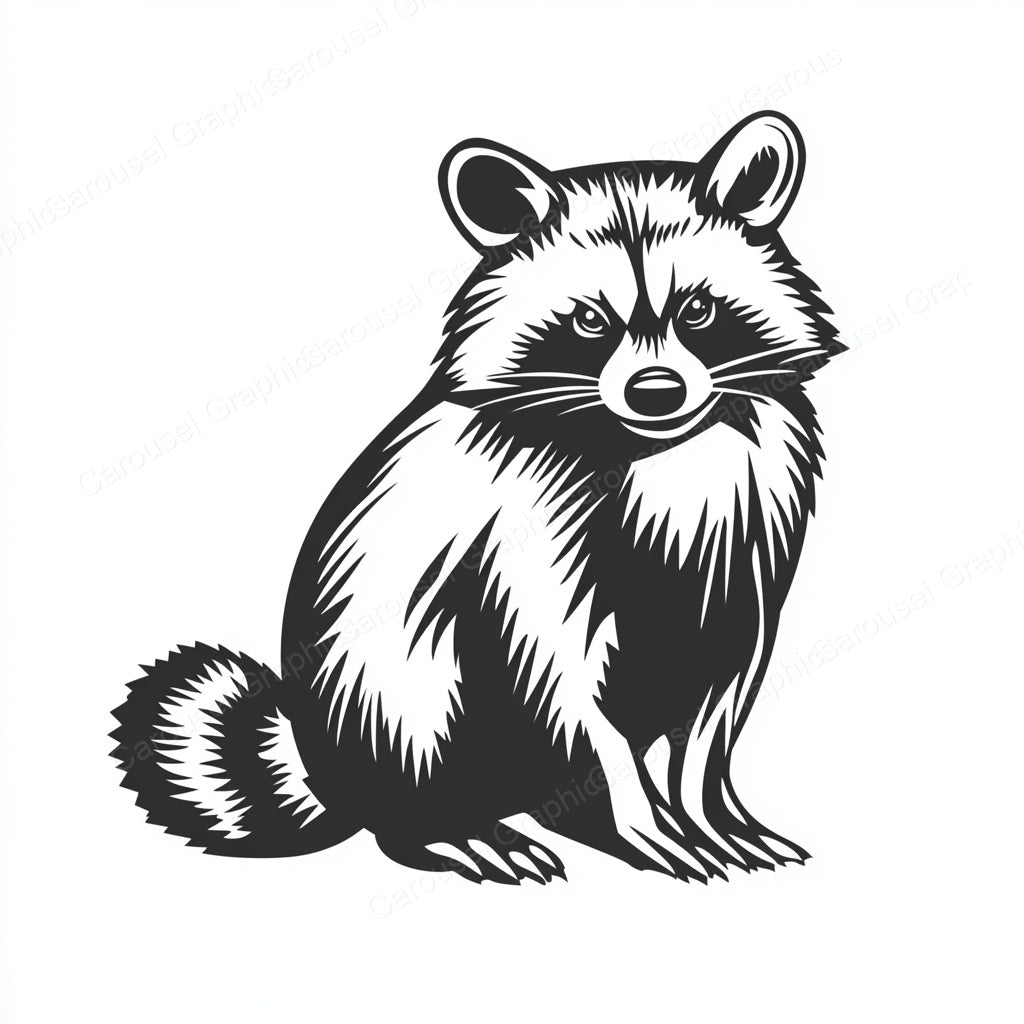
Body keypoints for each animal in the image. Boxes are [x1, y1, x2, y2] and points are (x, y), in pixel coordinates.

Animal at [111, 111, 843, 884]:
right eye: (590, 321)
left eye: (698, 309)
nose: (656, 392)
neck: (661, 450)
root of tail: (322, 764)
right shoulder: (529, 532)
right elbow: (568, 687)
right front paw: (636, 816)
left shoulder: (747, 545)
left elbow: (716, 709)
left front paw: (710, 814)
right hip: (392, 698)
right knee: (420, 711)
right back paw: (447, 827)